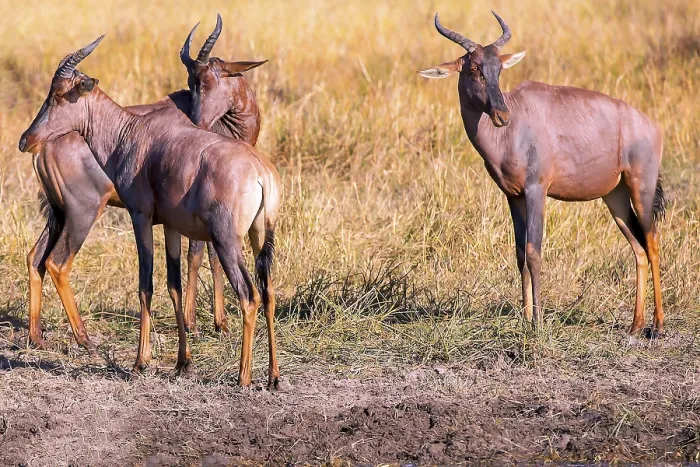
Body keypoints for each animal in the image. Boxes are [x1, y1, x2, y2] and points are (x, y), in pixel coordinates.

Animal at [19, 36, 282, 387]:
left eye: (60, 95)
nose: (25, 140)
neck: (131, 131)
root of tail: (260, 173)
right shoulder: (168, 224)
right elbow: (172, 284)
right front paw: (183, 361)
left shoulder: (143, 216)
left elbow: (150, 283)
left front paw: (142, 362)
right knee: (266, 293)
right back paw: (272, 376)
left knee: (251, 294)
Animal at [418, 11, 665, 335]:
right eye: (474, 68)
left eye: (499, 69)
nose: (502, 115)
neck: (514, 129)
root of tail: (651, 126)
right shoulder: (513, 196)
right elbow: (520, 254)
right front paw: (525, 318)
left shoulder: (537, 190)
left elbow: (534, 252)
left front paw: (537, 323)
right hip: (616, 198)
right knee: (637, 249)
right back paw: (635, 325)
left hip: (641, 188)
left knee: (652, 244)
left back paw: (658, 325)